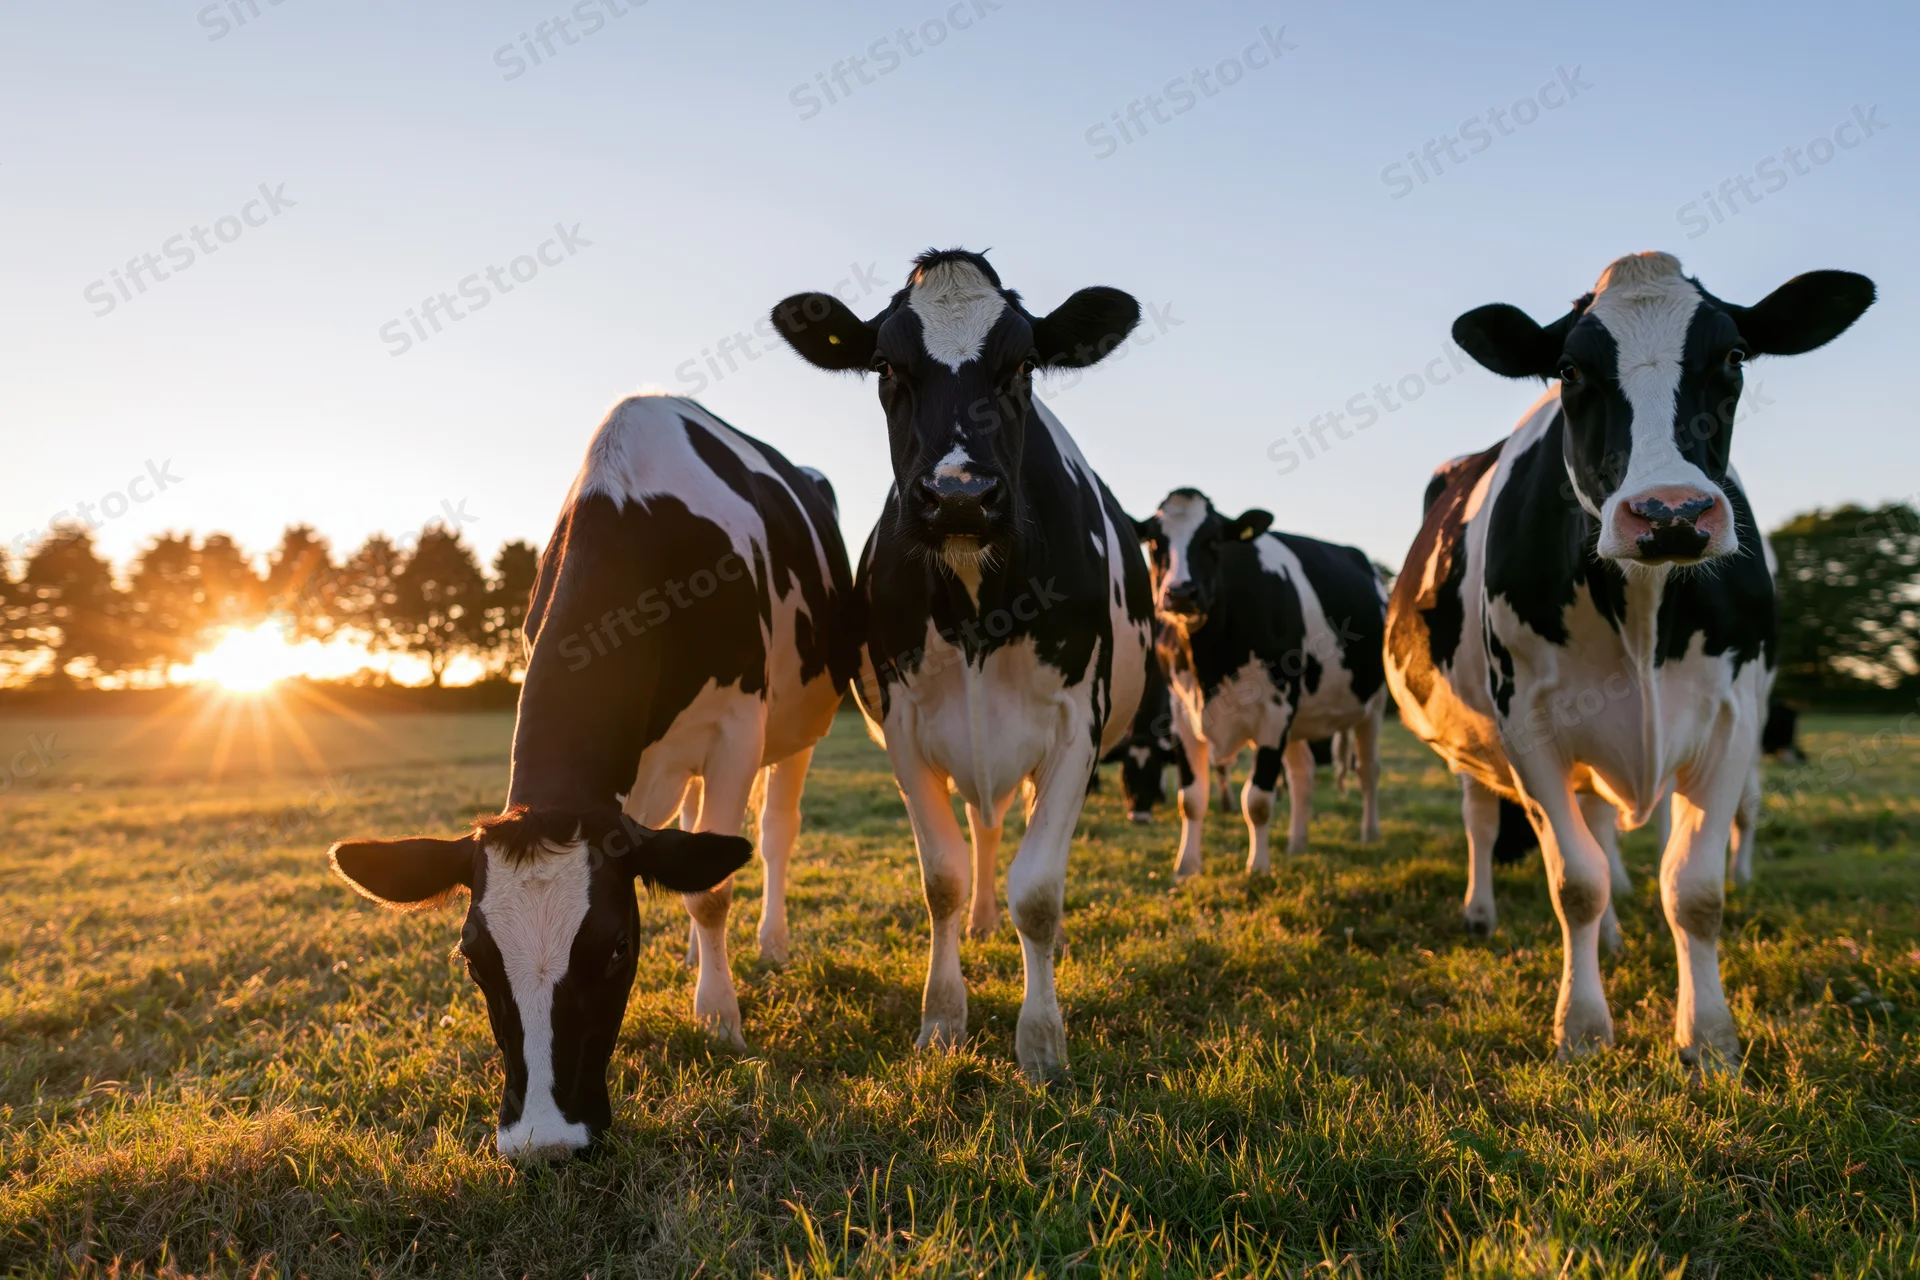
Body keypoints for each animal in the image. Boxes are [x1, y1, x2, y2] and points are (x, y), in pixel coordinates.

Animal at [327, 393, 858, 1157]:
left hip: (800, 725)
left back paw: (769, 946)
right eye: (473, 958)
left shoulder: (736, 730)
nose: (545, 1141)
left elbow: (713, 892)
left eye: (615, 950)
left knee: (773, 832)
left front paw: (720, 1019)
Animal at [770, 248, 1153, 1080]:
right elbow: (941, 878)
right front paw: (943, 1018)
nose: (960, 497)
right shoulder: (906, 724)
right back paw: (980, 925)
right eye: (885, 365)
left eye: (1024, 365)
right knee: (982, 825)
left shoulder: (1078, 726)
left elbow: (1038, 891)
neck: (980, 606)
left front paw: (1041, 1042)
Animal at [1135, 490, 1389, 878]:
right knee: (1302, 774)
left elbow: (1257, 799)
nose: (1179, 593)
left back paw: (1370, 834)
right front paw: (1186, 867)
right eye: (1153, 542)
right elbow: (1191, 799)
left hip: (1373, 704)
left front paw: (1257, 868)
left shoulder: (1275, 709)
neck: (1208, 663)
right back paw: (1297, 843)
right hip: (1300, 719)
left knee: (1367, 770)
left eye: (1213, 541)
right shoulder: (1180, 714)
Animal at [1386, 251, 1873, 1070]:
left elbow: (1694, 890)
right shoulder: (1528, 725)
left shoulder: (1734, 719)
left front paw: (1708, 1039)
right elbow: (1575, 881)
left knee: (1599, 822)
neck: (1644, 610)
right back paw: (1482, 912)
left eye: (1734, 356)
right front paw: (1581, 1028)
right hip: (1477, 742)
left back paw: (1613, 939)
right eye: (1569, 369)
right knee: (1485, 820)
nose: (1670, 512)